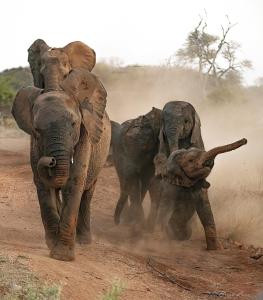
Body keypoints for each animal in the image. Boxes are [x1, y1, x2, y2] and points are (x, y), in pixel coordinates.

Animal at [12, 49, 111, 260]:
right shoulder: (34, 144)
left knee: (87, 193)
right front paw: (53, 246)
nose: (51, 160)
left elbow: (75, 181)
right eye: (37, 130)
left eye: (74, 124)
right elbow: (42, 184)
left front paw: (63, 256)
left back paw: (83, 241)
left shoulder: (86, 133)